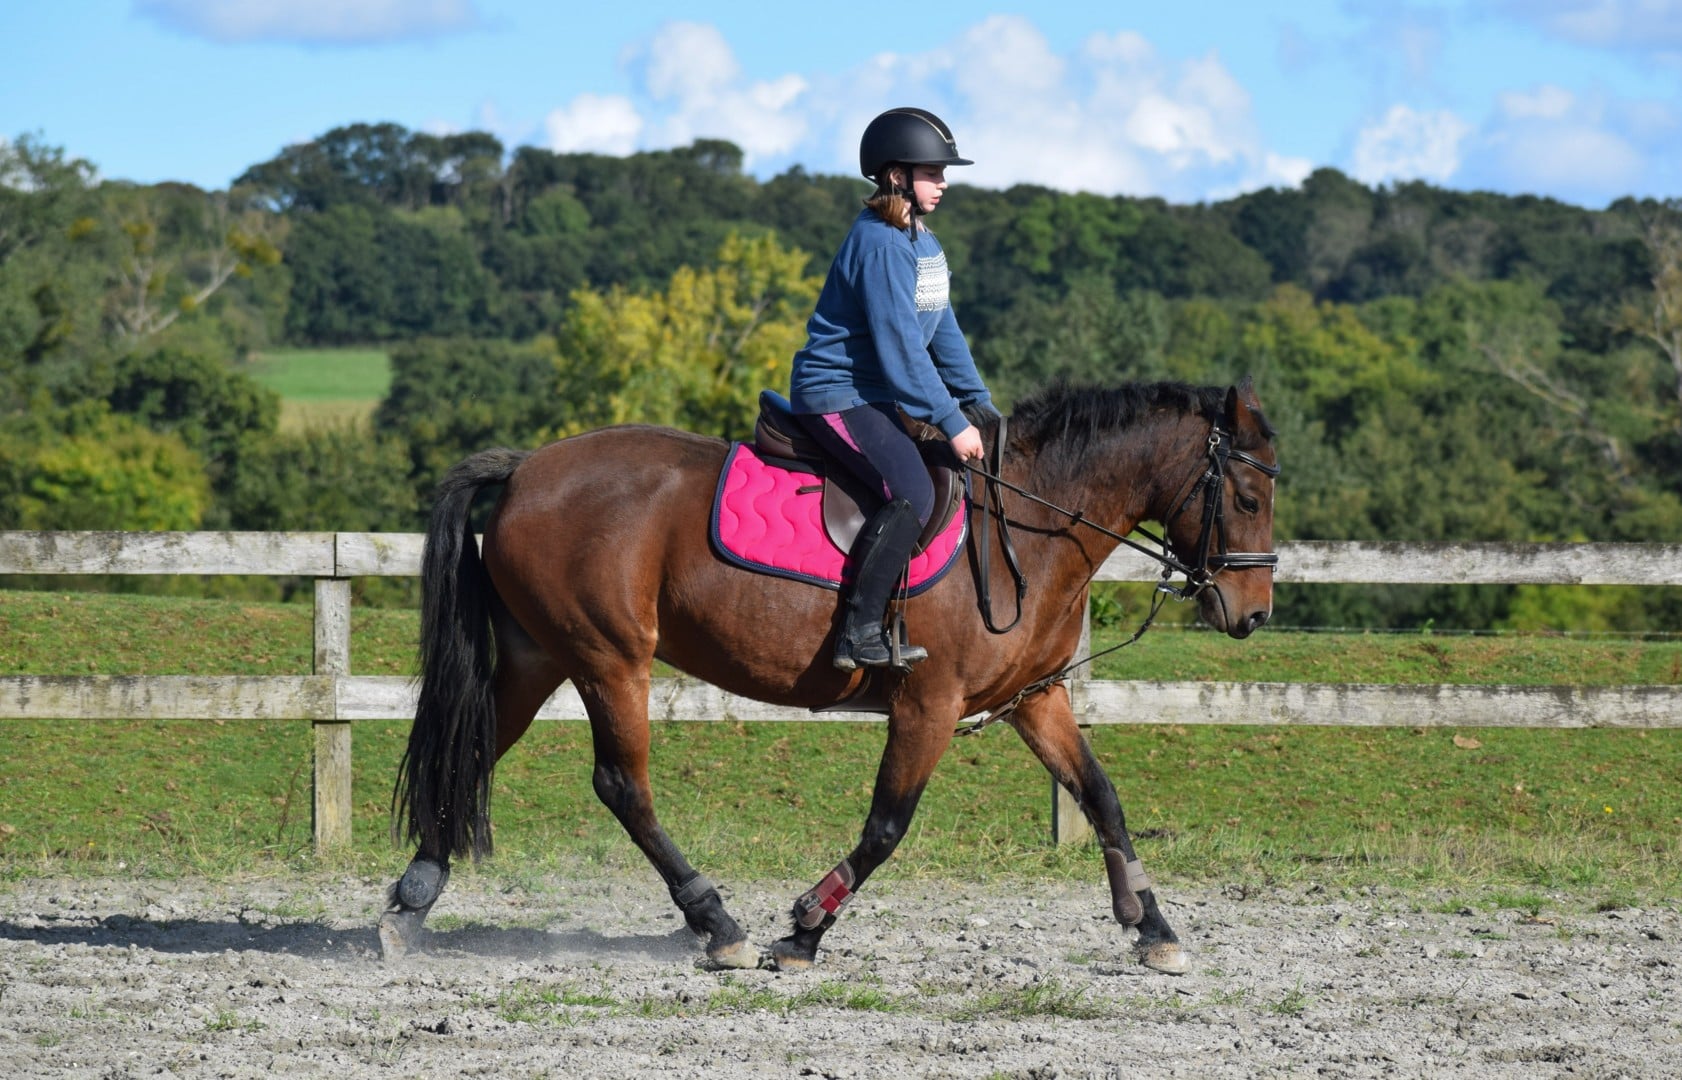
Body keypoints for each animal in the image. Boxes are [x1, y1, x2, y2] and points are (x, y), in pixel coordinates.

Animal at [381, 377, 1280, 975]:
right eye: (1244, 496)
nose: (1253, 613)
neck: (1029, 523)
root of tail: (526, 468)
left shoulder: (1037, 699)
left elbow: (1101, 796)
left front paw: (1152, 925)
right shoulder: (929, 704)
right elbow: (887, 825)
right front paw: (805, 928)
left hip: (539, 656)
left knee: (475, 751)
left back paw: (411, 902)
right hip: (609, 658)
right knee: (622, 785)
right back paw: (718, 923)